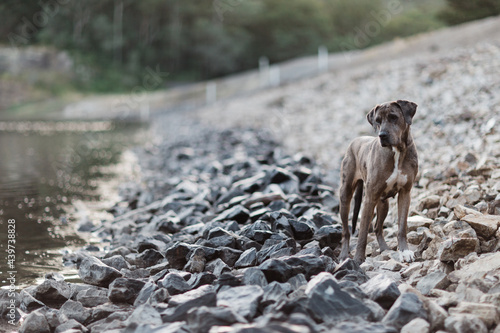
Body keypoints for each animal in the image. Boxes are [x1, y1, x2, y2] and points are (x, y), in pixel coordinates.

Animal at [340, 98, 418, 262]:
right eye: (377, 120)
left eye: (394, 117)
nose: (382, 135)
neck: (396, 151)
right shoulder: (369, 199)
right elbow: (363, 233)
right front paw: (358, 259)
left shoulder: (405, 193)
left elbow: (402, 227)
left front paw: (404, 251)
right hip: (345, 196)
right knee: (346, 231)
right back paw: (344, 255)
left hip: (383, 203)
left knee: (377, 228)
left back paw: (384, 248)